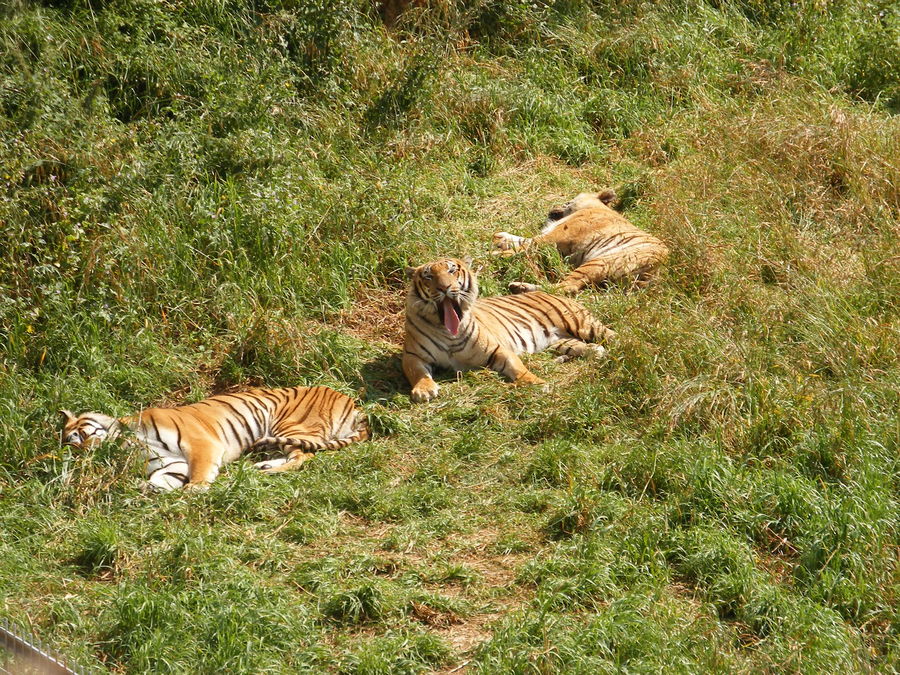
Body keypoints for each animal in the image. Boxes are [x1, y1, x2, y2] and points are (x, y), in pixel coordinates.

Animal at [59, 386, 370, 492]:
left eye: (81, 435)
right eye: (73, 449)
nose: (88, 453)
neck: (128, 444)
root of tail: (352, 402)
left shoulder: (201, 444)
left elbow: (198, 476)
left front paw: (193, 492)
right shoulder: (170, 463)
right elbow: (161, 479)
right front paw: (146, 489)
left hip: (290, 425)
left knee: (303, 457)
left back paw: (264, 472)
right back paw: (262, 466)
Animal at [404, 258, 616, 402]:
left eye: (452, 270)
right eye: (429, 276)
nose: (444, 287)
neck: (448, 330)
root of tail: (550, 292)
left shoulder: (497, 350)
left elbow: (518, 367)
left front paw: (537, 384)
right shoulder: (413, 355)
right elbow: (417, 373)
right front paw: (424, 390)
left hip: (582, 324)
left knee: (613, 335)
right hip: (560, 341)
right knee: (590, 346)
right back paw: (596, 352)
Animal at [492, 190, 668, 296]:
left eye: (567, 202)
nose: (551, 208)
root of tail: (658, 274)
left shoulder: (555, 236)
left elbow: (527, 244)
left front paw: (498, 254)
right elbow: (522, 240)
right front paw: (499, 238)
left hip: (600, 261)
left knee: (565, 288)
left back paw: (519, 287)